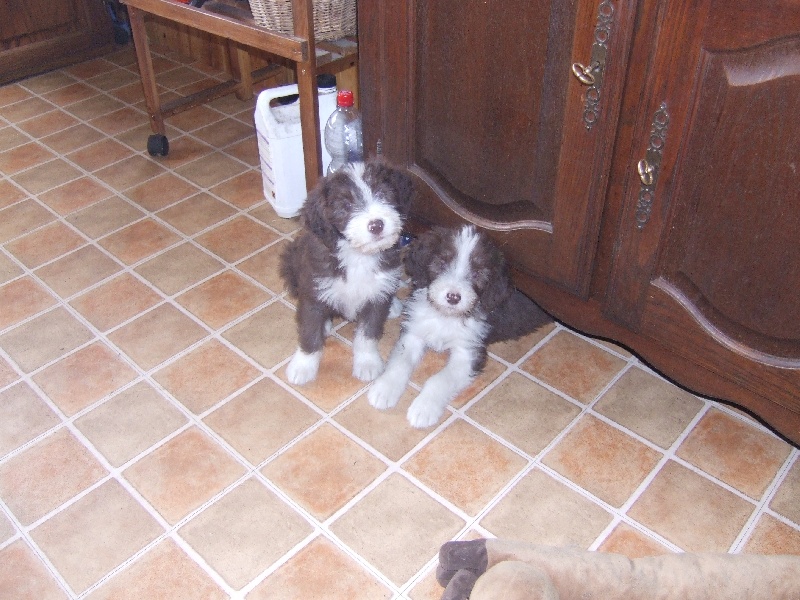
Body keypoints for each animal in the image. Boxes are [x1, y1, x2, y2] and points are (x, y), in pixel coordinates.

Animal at [280, 161, 412, 384]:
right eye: (346, 206)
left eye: (383, 194)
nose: (376, 225)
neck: (358, 255)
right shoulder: (314, 291)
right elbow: (309, 332)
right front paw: (302, 366)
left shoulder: (375, 299)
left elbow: (368, 333)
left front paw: (367, 363)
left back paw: (393, 304)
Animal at [368, 224, 552, 426]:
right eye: (441, 263)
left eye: (477, 273)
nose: (453, 297)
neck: (445, 317)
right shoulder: (414, 333)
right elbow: (400, 363)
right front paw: (384, 389)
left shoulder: (469, 352)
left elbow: (440, 380)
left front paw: (424, 409)